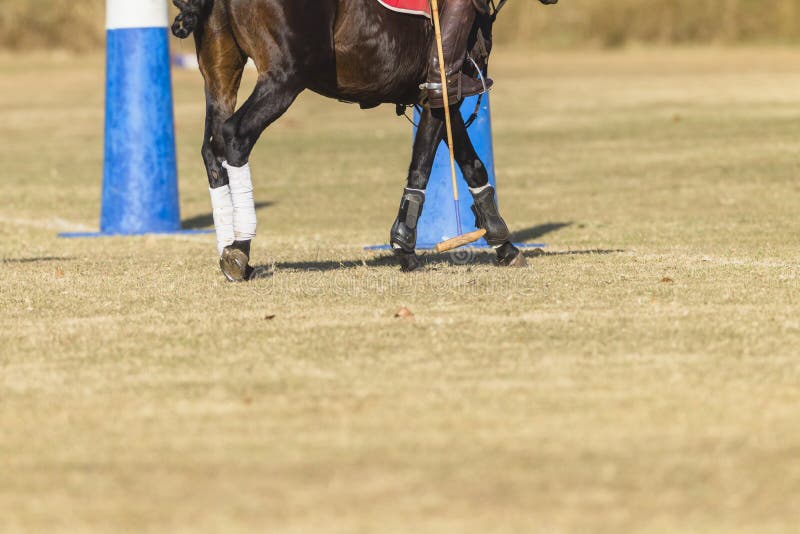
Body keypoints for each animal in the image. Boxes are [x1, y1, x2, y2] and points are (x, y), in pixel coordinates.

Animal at [170, 0, 556, 282]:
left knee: (212, 149)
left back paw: (230, 249)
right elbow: (426, 163)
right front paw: (406, 247)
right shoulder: (441, 89)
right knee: (236, 136)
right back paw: (239, 248)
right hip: (286, 76)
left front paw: (502, 243)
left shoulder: (440, 94)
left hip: (221, 69)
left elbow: (469, 164)